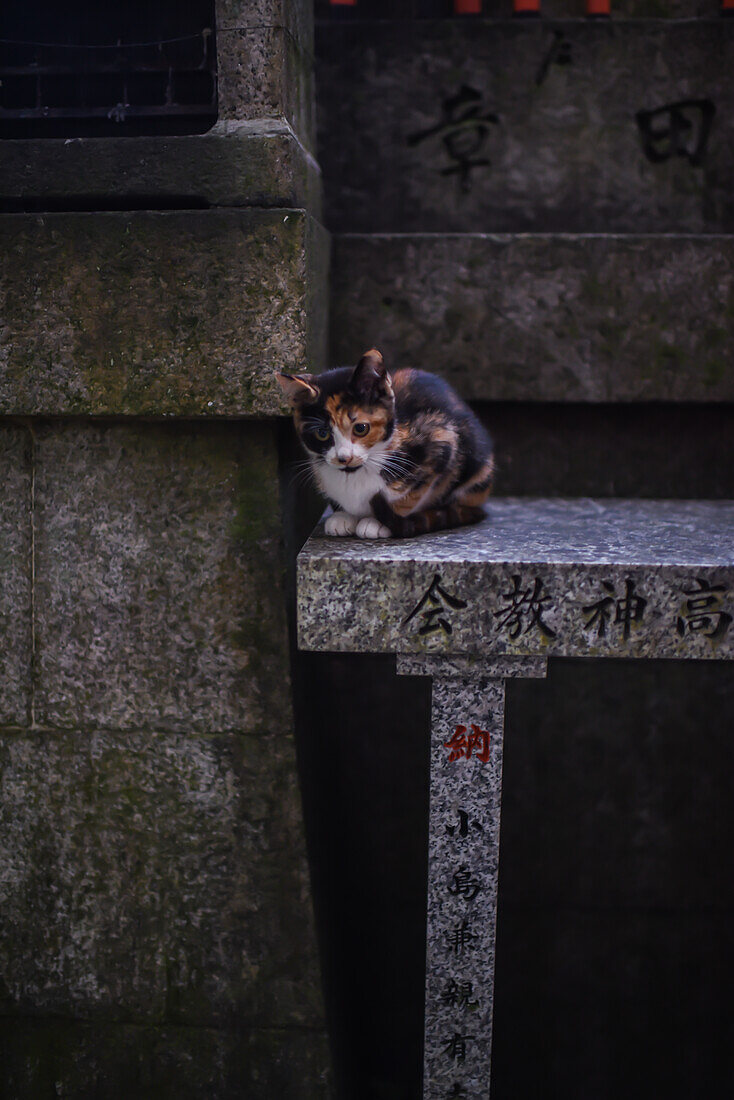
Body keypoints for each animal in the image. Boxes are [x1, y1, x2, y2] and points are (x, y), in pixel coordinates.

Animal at [278, 347, 497, 536]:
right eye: (322, 434)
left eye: (360, 428)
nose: (344, 458)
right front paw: (343, 516)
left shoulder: (442, 441)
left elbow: (412, 496)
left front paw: (378, 522)